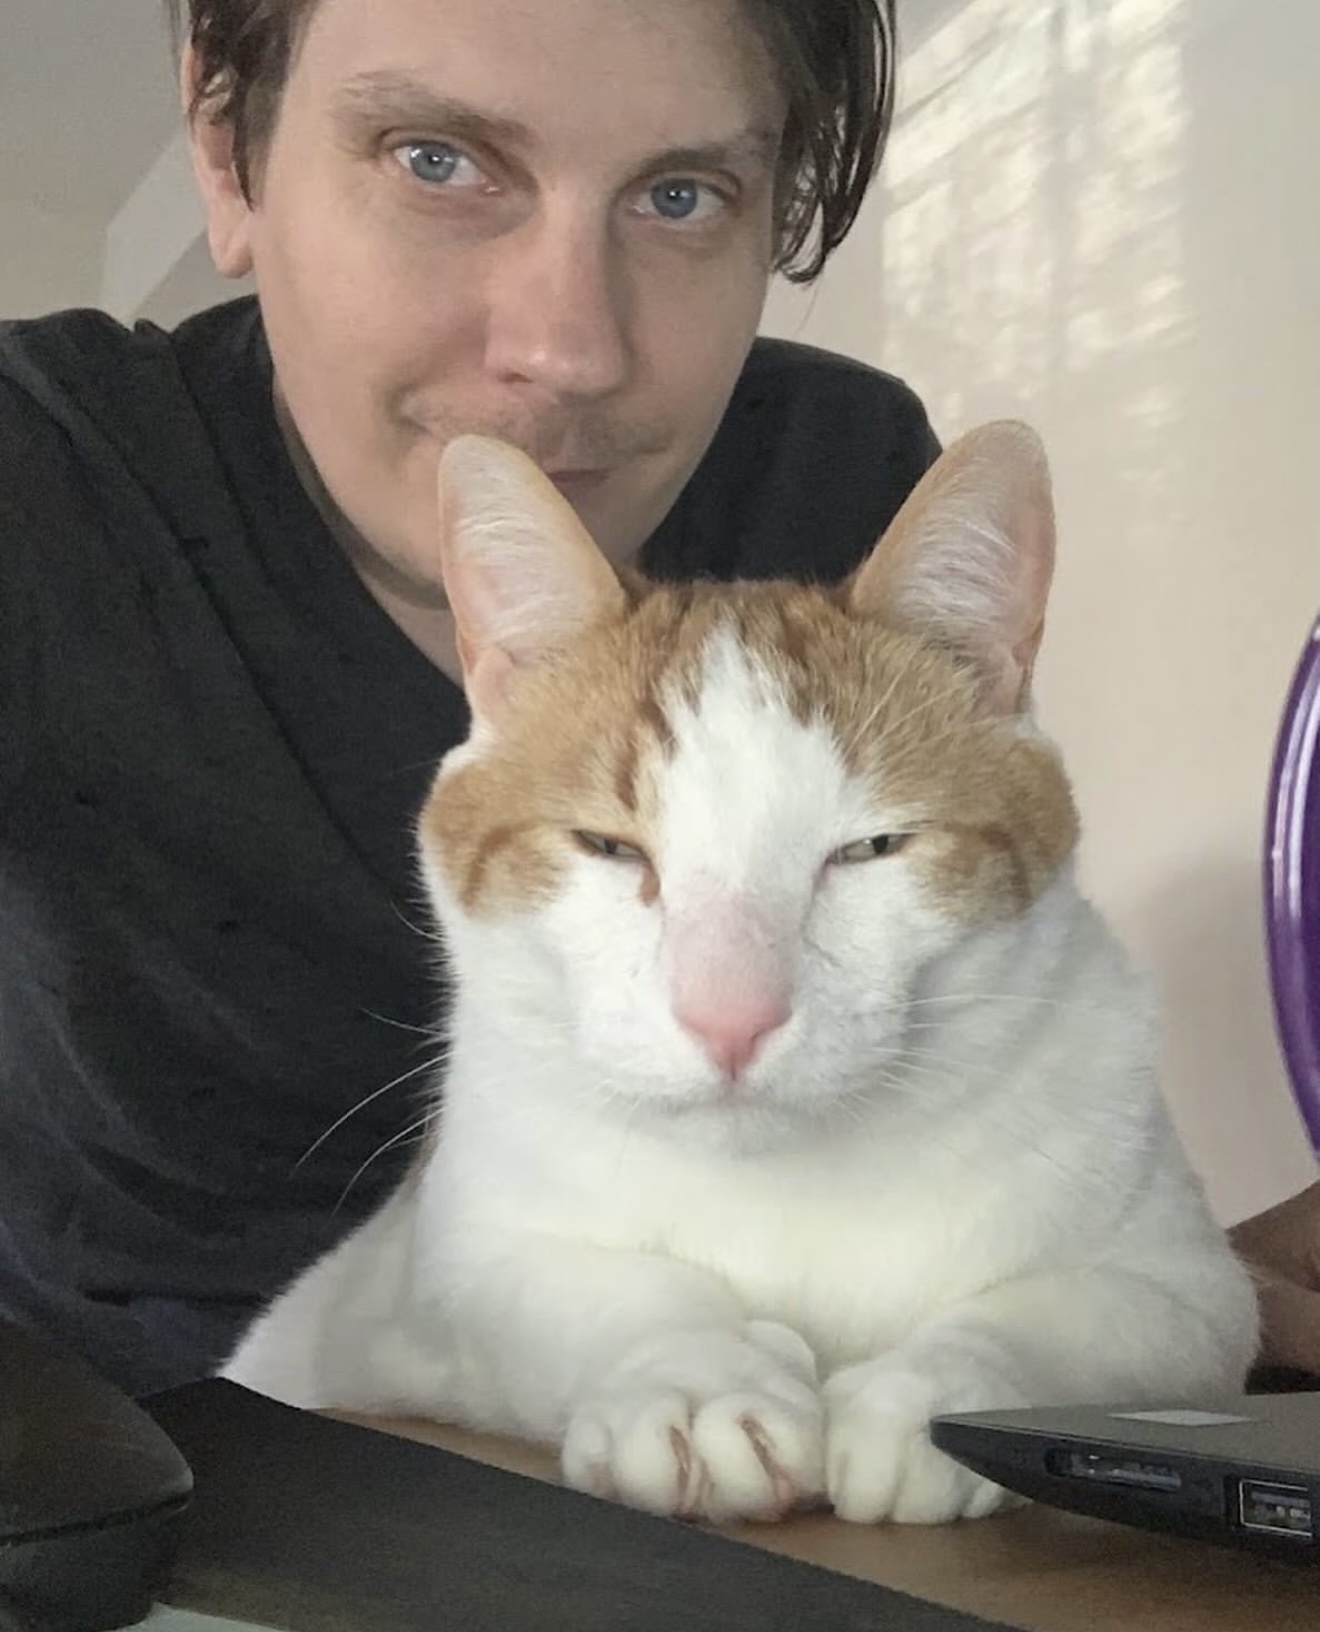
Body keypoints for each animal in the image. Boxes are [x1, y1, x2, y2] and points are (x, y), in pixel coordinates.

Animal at [225, 421, 1258, 1526]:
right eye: (609, 847)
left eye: (870, 849)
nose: (731, 1017)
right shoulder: (399, 1301)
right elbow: (571, 1289)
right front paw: (692, 1373)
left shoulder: (1195, 1292)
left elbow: (1071, 1318)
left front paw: (928, 1392)